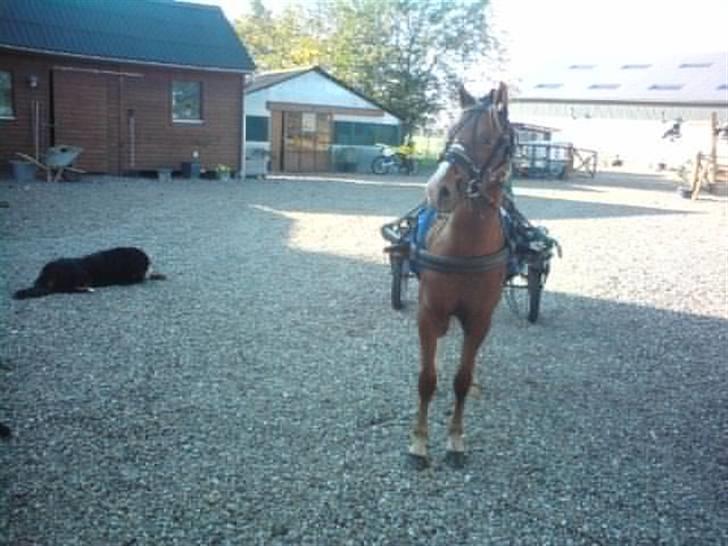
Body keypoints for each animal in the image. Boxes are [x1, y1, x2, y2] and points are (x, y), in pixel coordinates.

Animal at [409, 82, 515, 464]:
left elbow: (462, 379)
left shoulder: (480, 320)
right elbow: (427, 379)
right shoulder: (428, 313)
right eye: (451, 132)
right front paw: (419, 441)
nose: (439, 189)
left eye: (488, 139)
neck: (464, 248)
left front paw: (455, 438)